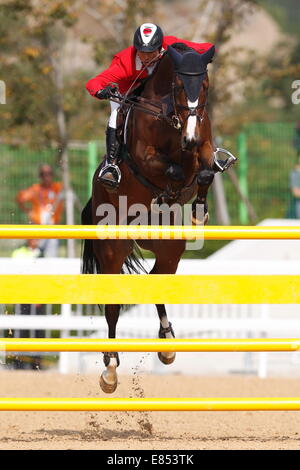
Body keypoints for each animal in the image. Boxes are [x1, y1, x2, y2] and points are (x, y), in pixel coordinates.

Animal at [82, 43, 217, 392]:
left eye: (204, 85)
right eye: (180, 86)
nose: (189, 138)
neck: (171, 118)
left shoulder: (204, 146)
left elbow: (206, 169)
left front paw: (198, 212)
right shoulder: (147, 159)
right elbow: (174, 170)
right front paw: (174, 183)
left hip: (167, 246)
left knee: (158, 278)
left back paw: (167, 343)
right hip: (113, 249)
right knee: (113, 305)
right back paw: (110, 369)